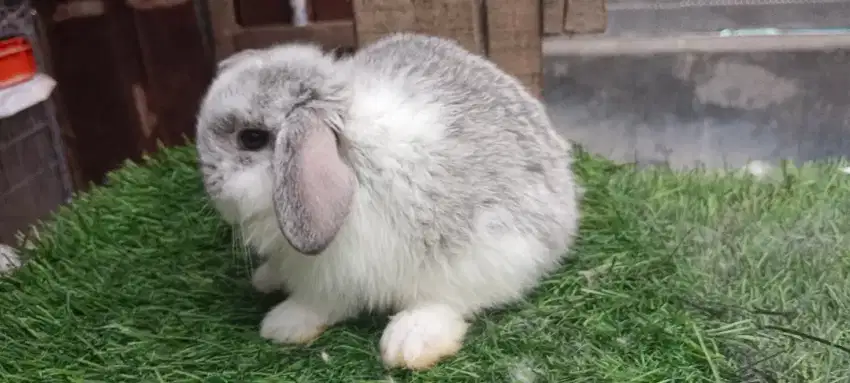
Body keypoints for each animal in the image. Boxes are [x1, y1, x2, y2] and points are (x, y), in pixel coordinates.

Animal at [195, 33, 580, 372]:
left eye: (251, 138)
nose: (211, 186)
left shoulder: (338, 273)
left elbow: (319, 302)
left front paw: (282, 325)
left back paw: (409, 341)